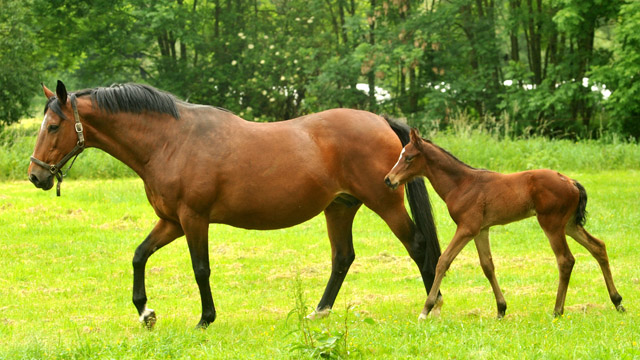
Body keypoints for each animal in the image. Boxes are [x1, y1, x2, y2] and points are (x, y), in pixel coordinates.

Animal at [27, 80, 442, 328]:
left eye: (53, 127)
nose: (35, 175)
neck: (170, 141)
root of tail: (382, 121)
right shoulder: (171, 221)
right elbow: (139, 255)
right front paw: (146, 312)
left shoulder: (193, 219)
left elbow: (200, 269)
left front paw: (205, 319)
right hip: (340, 207)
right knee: (342, 258)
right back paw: (319, 312)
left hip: (385, 203)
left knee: (419, 246)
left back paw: (431, 307)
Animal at [384, 127, 624, 318]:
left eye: (409, 157)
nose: (388, 179)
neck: (462, 183)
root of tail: (571, 181)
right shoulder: (481, 230)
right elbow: (487, 266)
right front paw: (501, 309)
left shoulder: (467, 228)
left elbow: (443, 261)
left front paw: (426, 309)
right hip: (570, 225)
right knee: (598, 247)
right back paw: (617, 301)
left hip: (552, 224)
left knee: (566, 260)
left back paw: (558, 310)